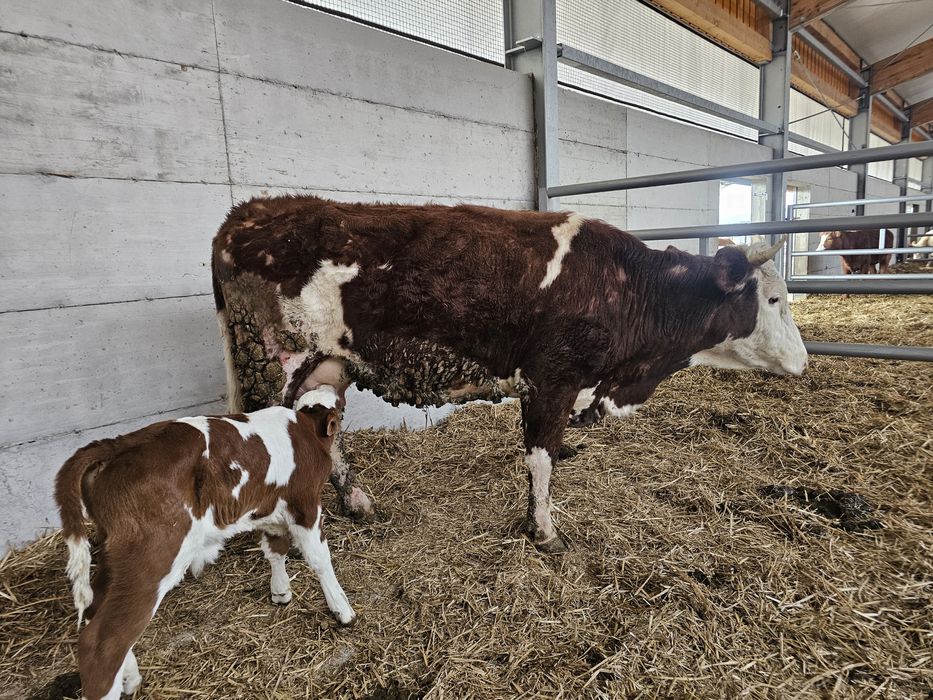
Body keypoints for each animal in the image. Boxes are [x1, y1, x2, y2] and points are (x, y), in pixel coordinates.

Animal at [55, 387, 355, 700]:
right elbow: (320, 559)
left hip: (115, 554)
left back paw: (130, 677)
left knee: (96, 609)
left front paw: (281, 592)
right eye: (339, 411)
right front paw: (342, 609)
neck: (304, 428)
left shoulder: (268, 508)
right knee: (105, 642)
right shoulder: (305, 505)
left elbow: (275, 549)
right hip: (154, 555)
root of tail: (116, 444)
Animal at [211, 197, 807, 553]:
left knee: (325, 432)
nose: (804, 361)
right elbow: (542, 458)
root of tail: (248, 212)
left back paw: (357, 501)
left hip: (329, 364)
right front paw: (544, 532)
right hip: (272, 362)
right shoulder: (554, 376)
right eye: (774, 299)